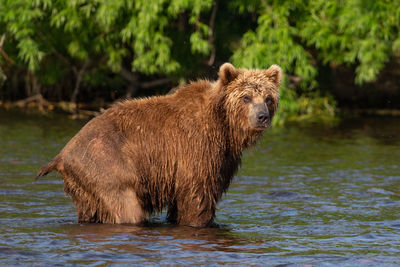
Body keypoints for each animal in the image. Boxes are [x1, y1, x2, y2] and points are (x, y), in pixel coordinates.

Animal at [36, 63, 282, 228]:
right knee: (127, 207)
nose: (262, 117)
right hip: (105, 164)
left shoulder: (223, 158)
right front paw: (199, 221)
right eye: (246, 97)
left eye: (268, 98)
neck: (225, 127)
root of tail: (62, 154)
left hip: (84, 186)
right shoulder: (197, 147)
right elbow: (197, 195)